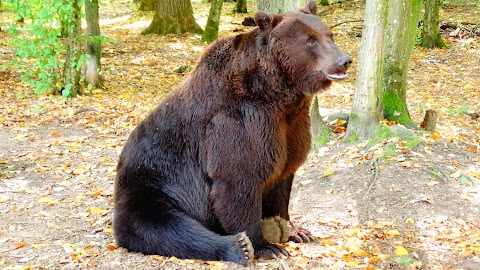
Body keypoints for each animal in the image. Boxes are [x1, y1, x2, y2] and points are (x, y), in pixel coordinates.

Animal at [114, 0, 350, 266]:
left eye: (329, 34)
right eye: (310, 40)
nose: (344, 60)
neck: (279, 96)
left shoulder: (291, 127)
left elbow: (283, 176)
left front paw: (295, 230)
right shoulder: (236, 122)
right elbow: (238, 180)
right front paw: (265, 246)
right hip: (153, 186)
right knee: (167, 227)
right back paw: (238, 246)